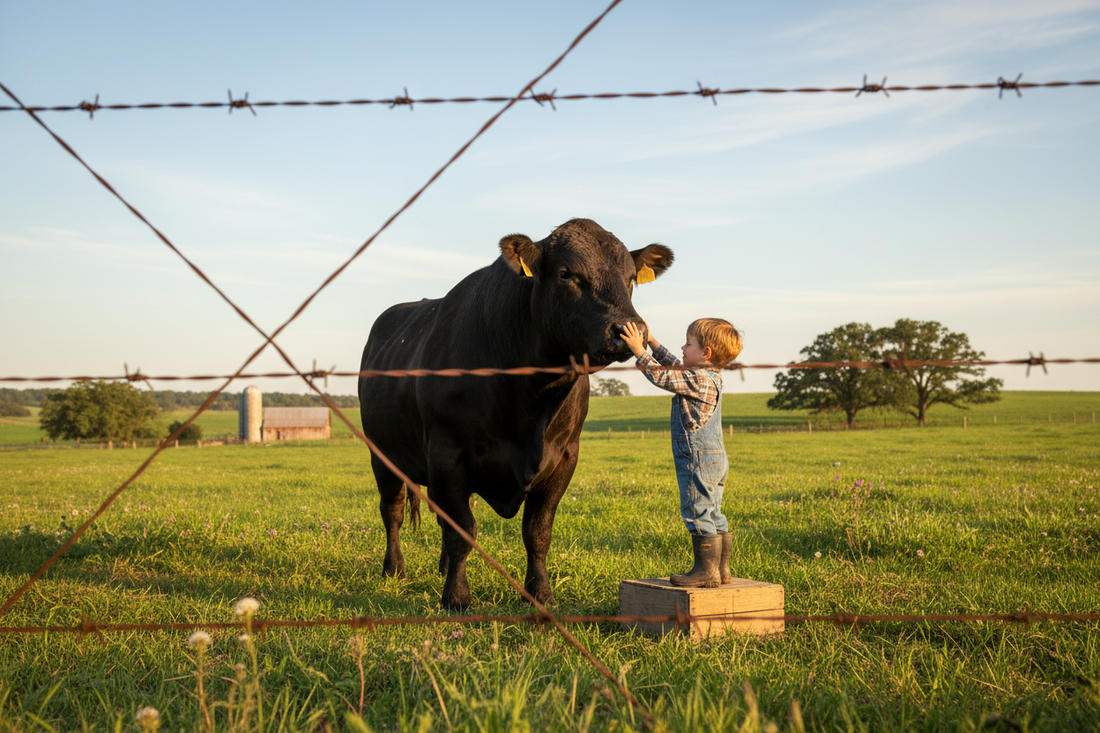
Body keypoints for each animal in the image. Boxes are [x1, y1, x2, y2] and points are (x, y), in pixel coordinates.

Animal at [359, 218, 673, 609]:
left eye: (631, 278)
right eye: (566, 274)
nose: (629, 331)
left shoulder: (564, 457)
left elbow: (536, 532)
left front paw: (540, 593)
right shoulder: (446, 455)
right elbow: (462, 530)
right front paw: (456, 597)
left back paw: (441, 567)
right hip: (381, 454)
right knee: (393, 512)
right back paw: (394, 569)